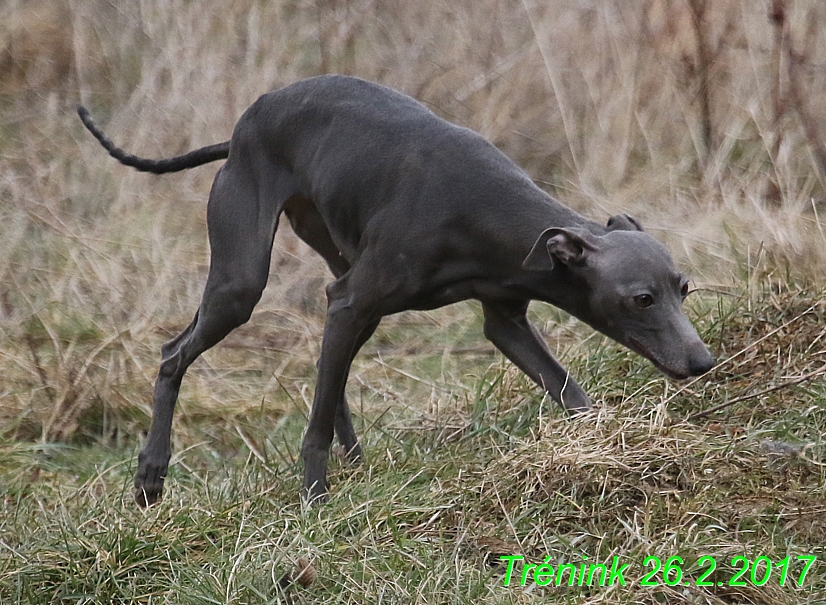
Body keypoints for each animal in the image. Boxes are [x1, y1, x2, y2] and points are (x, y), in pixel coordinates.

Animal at [75, 74, 716, 504]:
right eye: (642, 298)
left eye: (684, 288)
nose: (703, 362)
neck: (485, 207)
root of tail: (240, 130)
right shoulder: (357, 301)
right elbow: (311, 431)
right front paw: (313, 503)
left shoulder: (504, 320)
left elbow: (568, 391)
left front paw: (611, 447)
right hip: (244, 281)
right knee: (174, 353)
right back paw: (152, 475)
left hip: (340, 267)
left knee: (329, 366)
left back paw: (356, 460)